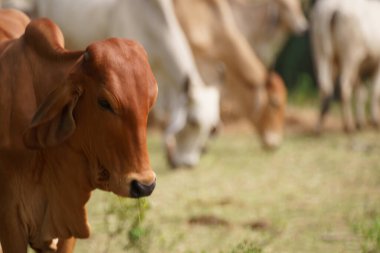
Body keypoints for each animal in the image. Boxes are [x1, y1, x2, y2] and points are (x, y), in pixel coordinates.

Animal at [310, 0, 380, 131]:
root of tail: (334, 8)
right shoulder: (375, 64)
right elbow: (374, 92)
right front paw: (374, 121)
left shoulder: (360, 69)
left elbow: (361, 93)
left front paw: (361, 122)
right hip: (350, 56)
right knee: (344, 86)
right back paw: (349, 125)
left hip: (320, 53)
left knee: (324, 86)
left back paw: (319, 126)